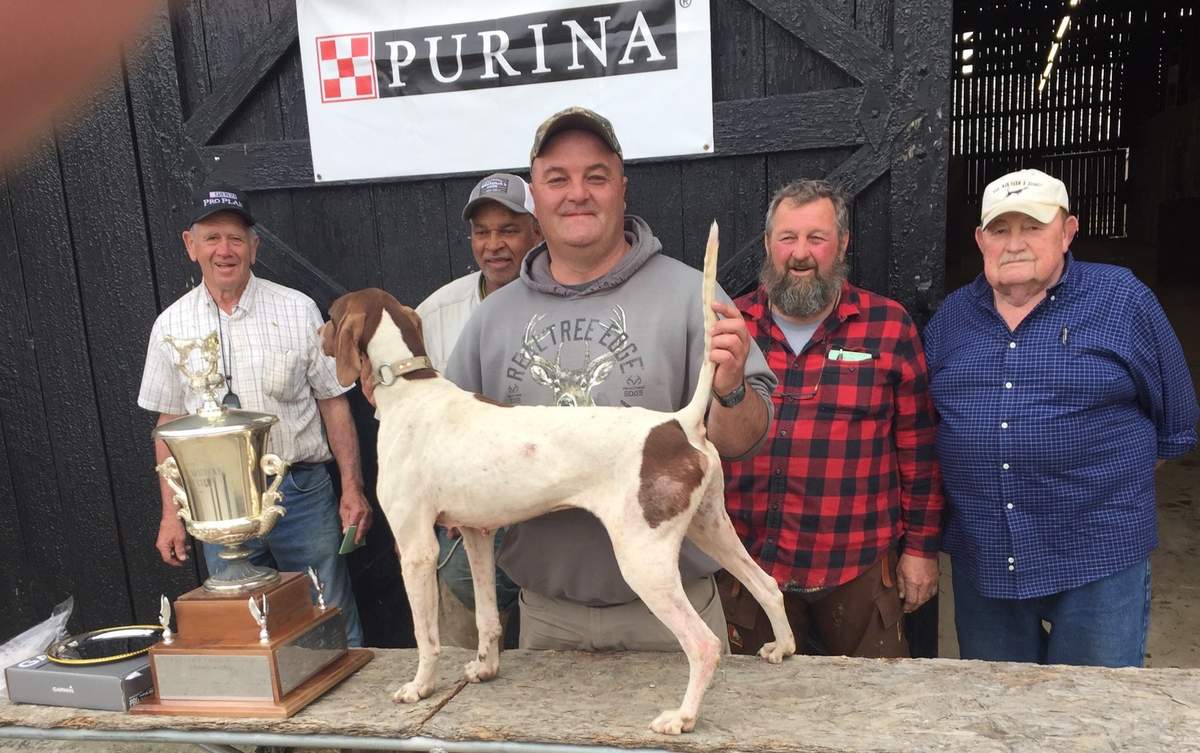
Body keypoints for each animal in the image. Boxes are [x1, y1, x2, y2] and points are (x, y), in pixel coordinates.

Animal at [316, 220, 796, 733]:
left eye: (332, 315)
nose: (317, 332)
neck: (410, 389)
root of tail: (678, 423)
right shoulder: (477, 534)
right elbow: (488, 619)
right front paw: (485, 668)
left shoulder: (416, 548)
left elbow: (425, 636)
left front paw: (419, 687)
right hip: (710, 527)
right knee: (767, 585)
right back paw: (782, 647)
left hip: (644, 559)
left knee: (704, 643)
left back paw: (682, 717)